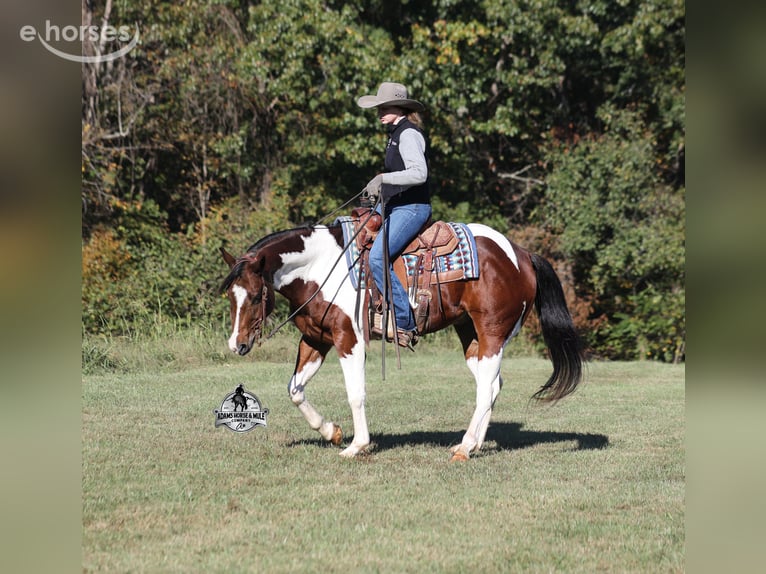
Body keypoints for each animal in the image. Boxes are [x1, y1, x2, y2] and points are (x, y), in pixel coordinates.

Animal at [219, 219, 584, 461]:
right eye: (230, 296)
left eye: (256, 296)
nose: (237, 345)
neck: (321, 267)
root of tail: (521, 254)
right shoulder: (315, 339)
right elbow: (295, 390)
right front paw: (330, 431)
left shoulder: (348, 339)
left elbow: (355, 394)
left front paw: (357, 445)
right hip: (471, 334)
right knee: (491, 384)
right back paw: (474, 444)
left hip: (493, 332)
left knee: (486, 389)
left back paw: (466, 447)